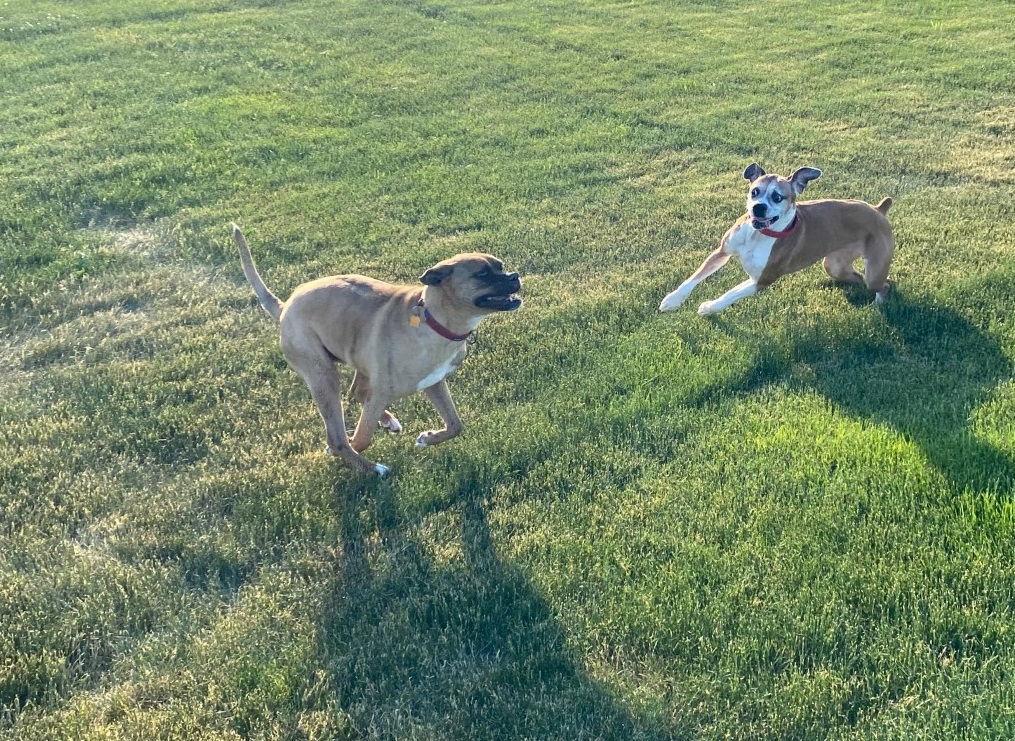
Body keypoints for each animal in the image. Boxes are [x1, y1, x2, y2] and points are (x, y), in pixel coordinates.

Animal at [234, 223, 523, 473]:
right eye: (482, 274)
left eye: (501, 266)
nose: (515, 276)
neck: (434, 319)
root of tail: (285, 306)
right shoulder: (382, 392)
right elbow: (360, 438)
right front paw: (355, 453)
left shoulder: (434, 383)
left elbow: (455, 425)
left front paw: (427, 437)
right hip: (323, 376)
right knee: (337, 433)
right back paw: (370, 467)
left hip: (357, 360)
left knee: (356, 392)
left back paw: (387, 422)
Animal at [661, 164, 893, 314]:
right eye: (754, 192)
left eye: (777, 197)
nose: (758, 207)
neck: (758, 235)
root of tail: (878, 209)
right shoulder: (722, 252)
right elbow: (693, 279)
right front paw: (672, 300)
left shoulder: (761, 280)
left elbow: (730, 295)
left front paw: (710, 307)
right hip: (835, 265)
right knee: (861, 278)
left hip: (874, 270)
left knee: (884, 284)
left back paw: (879, 305)